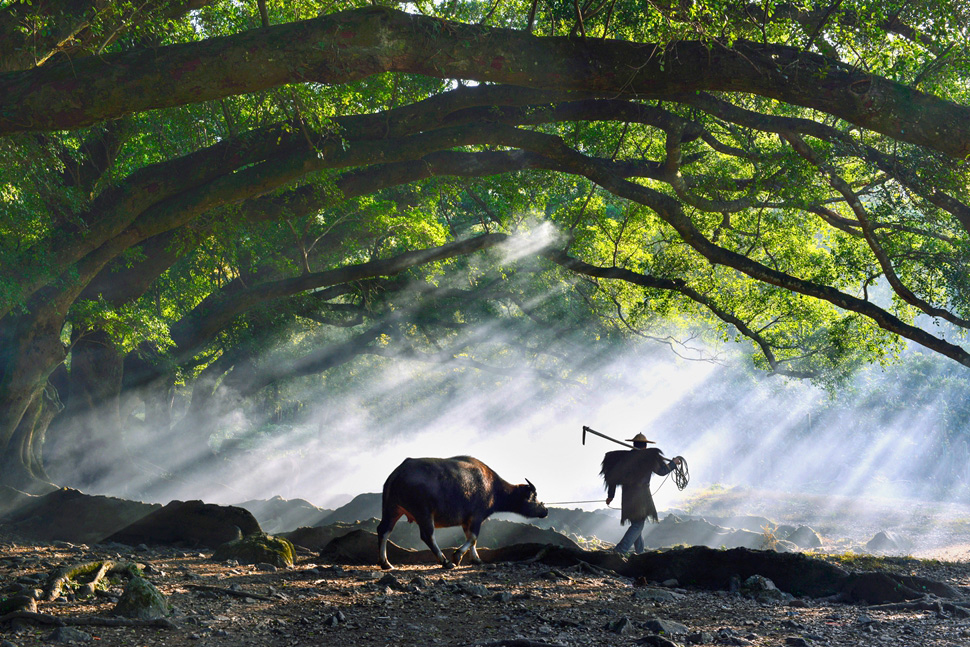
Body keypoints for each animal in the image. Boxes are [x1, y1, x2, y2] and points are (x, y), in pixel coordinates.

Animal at [376, 456, 544, 572]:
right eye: (534, 496)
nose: (545, 510)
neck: (493, 488)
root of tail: (398, 473)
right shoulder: (477, 516)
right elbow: (474, 537)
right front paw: (457, 556)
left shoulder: (466, 520)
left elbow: (471, 539)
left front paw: (476, 559)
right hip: (423, 512)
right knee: (428, 536)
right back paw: (445, 562)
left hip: (392, 508)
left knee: (384, 530)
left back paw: (386, 563)